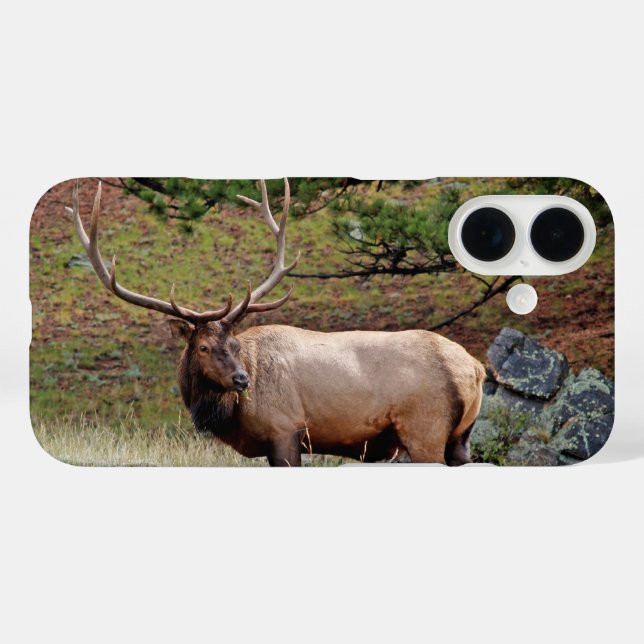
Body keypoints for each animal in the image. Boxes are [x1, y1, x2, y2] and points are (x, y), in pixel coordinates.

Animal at [68, 179, 485, 466]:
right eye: (203, 346)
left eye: (235, 344)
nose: (242, 379)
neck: (229, 416)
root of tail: (476, 368)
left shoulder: (285, 430)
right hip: (460, 438)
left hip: (424, 430)